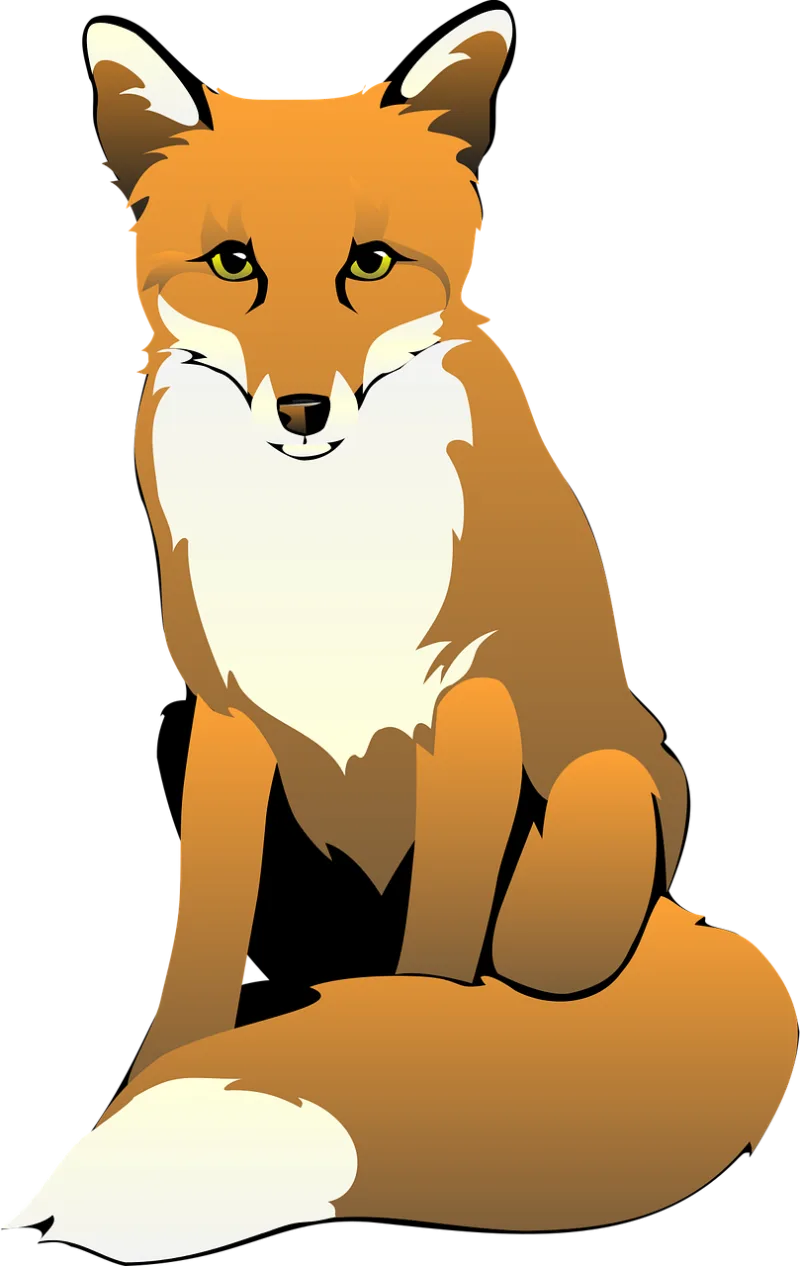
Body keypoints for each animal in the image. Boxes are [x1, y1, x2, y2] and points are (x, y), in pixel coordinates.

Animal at [3, 11, 796, 1260]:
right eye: (233, 265)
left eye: (368, 265)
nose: (302, 412)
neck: (321, 553)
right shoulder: (224, 714)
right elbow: (203, 944)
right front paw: (148, 1090)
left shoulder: (468, 707)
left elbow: (433, 959)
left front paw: (420, 1070)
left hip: (591, 817)